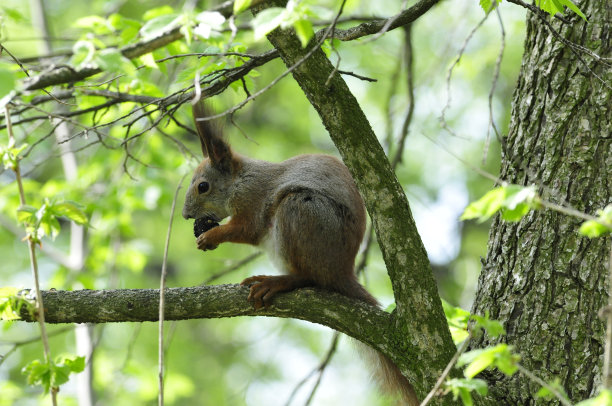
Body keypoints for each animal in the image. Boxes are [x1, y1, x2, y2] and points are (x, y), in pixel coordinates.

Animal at [182, 102, 418, 406]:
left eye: (203, 186)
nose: (186, 215)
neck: (240, 180)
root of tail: (342, 270)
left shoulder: (253, 200)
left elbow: (249, 229)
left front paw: (211, 236)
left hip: (300, 210)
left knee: (310, 278)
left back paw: (279, 282)